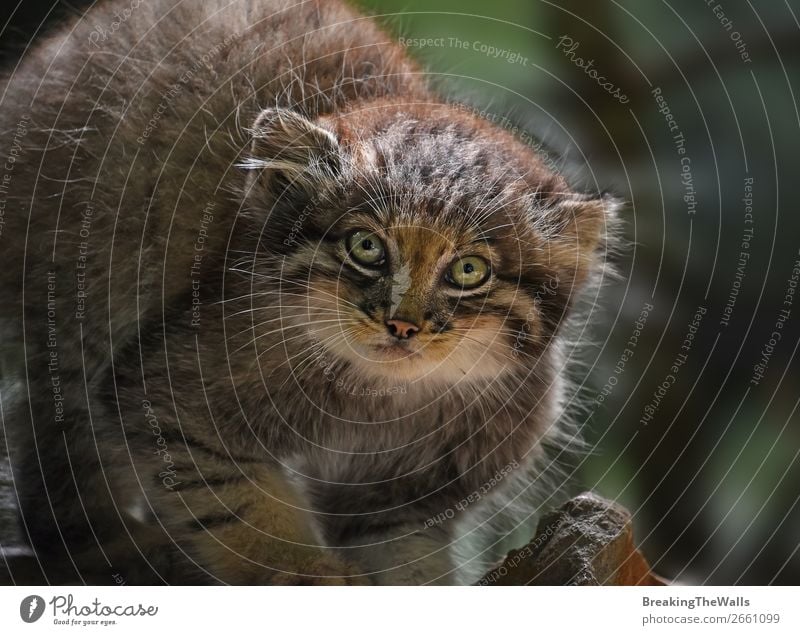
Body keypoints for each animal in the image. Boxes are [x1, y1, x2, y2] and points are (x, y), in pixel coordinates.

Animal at [0, 1, 616, 588]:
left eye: (468, 270)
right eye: (366, 246)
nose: (402, 324)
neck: (377, 400)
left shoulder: (405, 497)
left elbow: (407, 561)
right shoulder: (169, 399)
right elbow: (248, 514)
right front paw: (311, 573)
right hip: (72, 298)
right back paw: (103, 542)